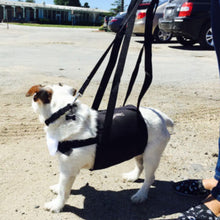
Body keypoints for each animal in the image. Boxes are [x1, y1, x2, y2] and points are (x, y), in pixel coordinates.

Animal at [25, 84, 174, 213]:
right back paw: (132, 177)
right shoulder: (65, 168)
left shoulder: (69, 170)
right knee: (140, 166)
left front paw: (57, 205)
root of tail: (161, 117)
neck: (65, 115)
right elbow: (61, 184)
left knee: (150, 177)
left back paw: (141, 195)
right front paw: (57, 188)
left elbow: (63, 190)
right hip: (138, 150)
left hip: (151, 157)